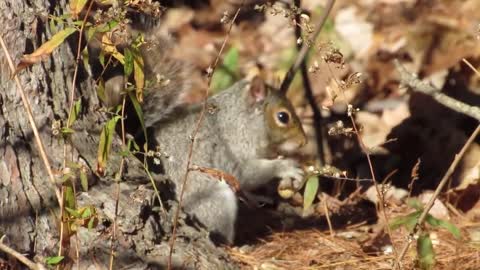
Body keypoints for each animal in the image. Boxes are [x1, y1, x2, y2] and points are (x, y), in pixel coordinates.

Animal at [104, 25, 308, 245]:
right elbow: (245, 173)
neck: (242, 119)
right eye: (283, 117)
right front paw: (286, 166)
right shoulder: (232, 148)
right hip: (214, 199)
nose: (303, 142)